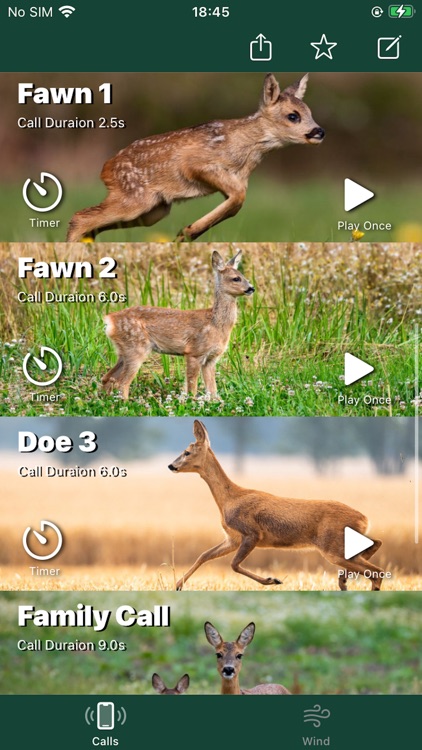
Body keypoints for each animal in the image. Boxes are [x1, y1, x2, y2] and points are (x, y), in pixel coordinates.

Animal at [66, 73, 324, 242]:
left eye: (310, 112)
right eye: (293, 116)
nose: (319, 131)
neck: (245, 151)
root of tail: (106, 167)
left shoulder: (235, 181)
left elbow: (235, 203)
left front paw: (186, 234)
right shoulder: (195, 164)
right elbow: (238, 199)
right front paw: (187, 232)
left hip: (154, 210)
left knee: (91, 225)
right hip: (135, 199)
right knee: (81, 218)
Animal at [101, 250, 254, 399]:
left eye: (244, 277)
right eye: (236, 278)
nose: (251, 288)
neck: (215, 323)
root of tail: (110, 319)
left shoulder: (211, 358)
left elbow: (213, 391)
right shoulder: (194, 352)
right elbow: (192, 387)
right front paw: (191, 403)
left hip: (124, 350)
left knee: (107, 378)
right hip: (136, 348)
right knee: (122, 383)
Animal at [168, 420, 384, 591]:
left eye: (186, 452)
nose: (171, 465)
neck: (229, 500)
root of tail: (364, 519)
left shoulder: (251, 533)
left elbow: (233, 565)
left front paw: (273, 579)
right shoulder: (233, 538)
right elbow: (204, 555)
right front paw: (177, 584)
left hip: (333, 546)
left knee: (378, 571)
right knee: (376, 546)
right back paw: (344, 580)